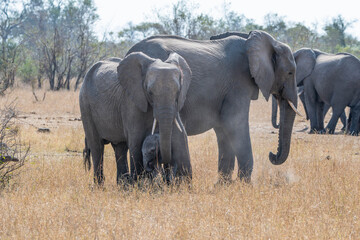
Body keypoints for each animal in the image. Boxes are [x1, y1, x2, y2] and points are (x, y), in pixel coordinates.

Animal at [78, 52, 191, 184]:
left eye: (178, 92)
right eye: (150, 92)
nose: (164, 166)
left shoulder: (175, 106)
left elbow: (181, 136)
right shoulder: (131, 103)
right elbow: (136, 142)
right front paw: (139, 185)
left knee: (120, 148)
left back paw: (123, 185)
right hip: (85, 105)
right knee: (97, 147)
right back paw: (100, 186)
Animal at [126, 30, 298, 184]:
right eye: (290, 73)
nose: (272, 155)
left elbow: (223, 128)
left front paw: (223, 184)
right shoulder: (238, 83)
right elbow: (234, 123)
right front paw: (244, 184)